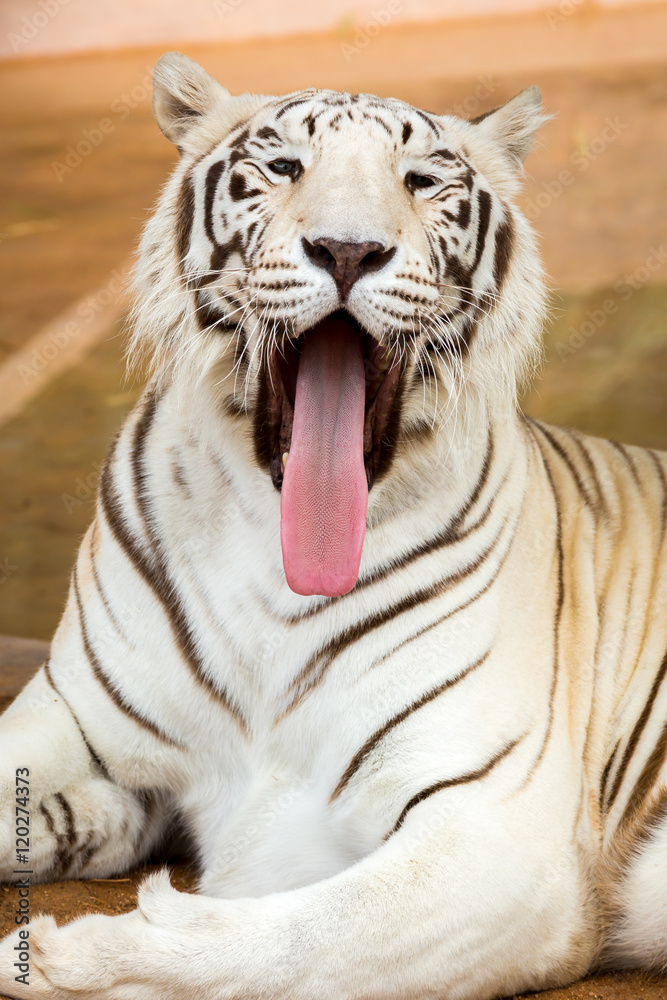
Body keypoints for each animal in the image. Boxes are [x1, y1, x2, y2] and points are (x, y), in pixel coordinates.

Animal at [0, 49, 666, 1000]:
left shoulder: (494, 833)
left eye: (420, 180)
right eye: (284, 167)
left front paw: (72, 957)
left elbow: (295, 943)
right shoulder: (64, 717)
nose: (348, 249)